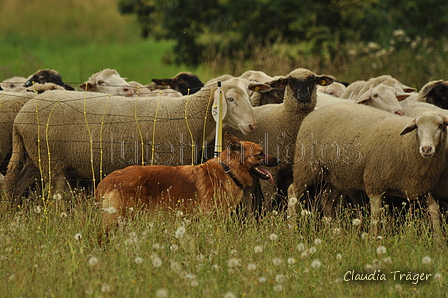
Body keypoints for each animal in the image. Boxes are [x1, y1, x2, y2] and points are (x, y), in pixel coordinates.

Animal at [5, 77, 270, 207]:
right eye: (230, 99)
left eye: (250, 95)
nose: (252, 126)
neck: (187, 114)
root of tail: (20, 117)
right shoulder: (165, 160)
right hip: (53, 163)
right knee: (56, 197)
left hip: (34, 158)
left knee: (14, 188)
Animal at [288, 103, 448, 234]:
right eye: (417, 127)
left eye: (440, 126)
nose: (426, 149)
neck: (407, 144)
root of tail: (313, 113)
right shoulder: (374, 184)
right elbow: (376, 217)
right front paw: (374, 240)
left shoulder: (426, 188)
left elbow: (435, 212)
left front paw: (439, 243)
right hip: (307, 167)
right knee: (293, 192)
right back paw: (291, 229)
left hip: (336, 175)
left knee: (327, 200)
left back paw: (335, 232)